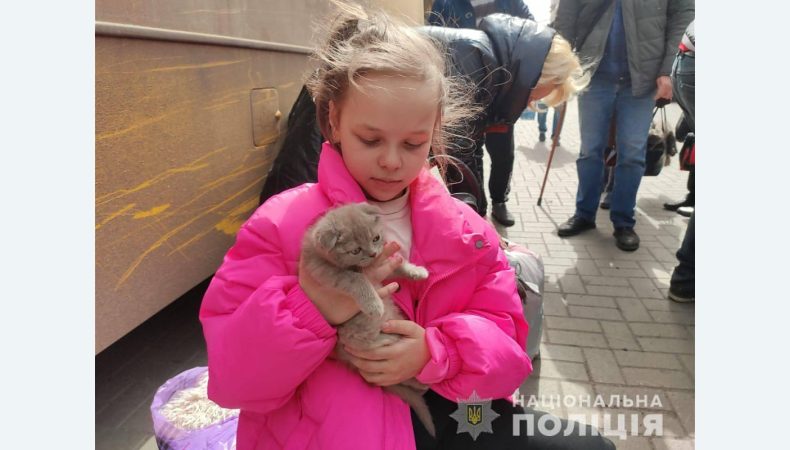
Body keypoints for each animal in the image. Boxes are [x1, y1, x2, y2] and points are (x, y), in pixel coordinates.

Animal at [304, 203, 440, 436]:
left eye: (376, 238)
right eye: (355, 250)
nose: (374, 253)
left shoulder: (380, 264)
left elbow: (396, 265)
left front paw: (416, 271)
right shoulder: (325, 271)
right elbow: (356, 278)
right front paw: (373, 303)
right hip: (364, 338)